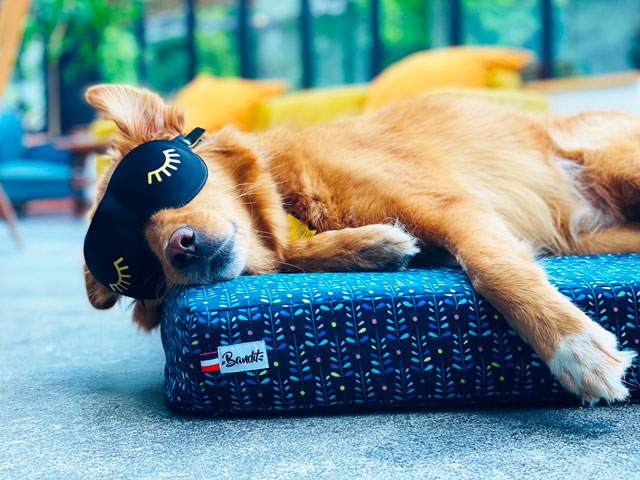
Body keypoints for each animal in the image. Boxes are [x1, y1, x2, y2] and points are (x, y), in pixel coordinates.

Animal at [84, 83, 636, 404]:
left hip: (610, 164)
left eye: (157, 177)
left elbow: (493, 269)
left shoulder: (452, 205)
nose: (178, 248)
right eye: (134, 264)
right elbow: (291, 257)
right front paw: (375, 245)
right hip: (588, 237)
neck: (290, 197)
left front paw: (576, 348)